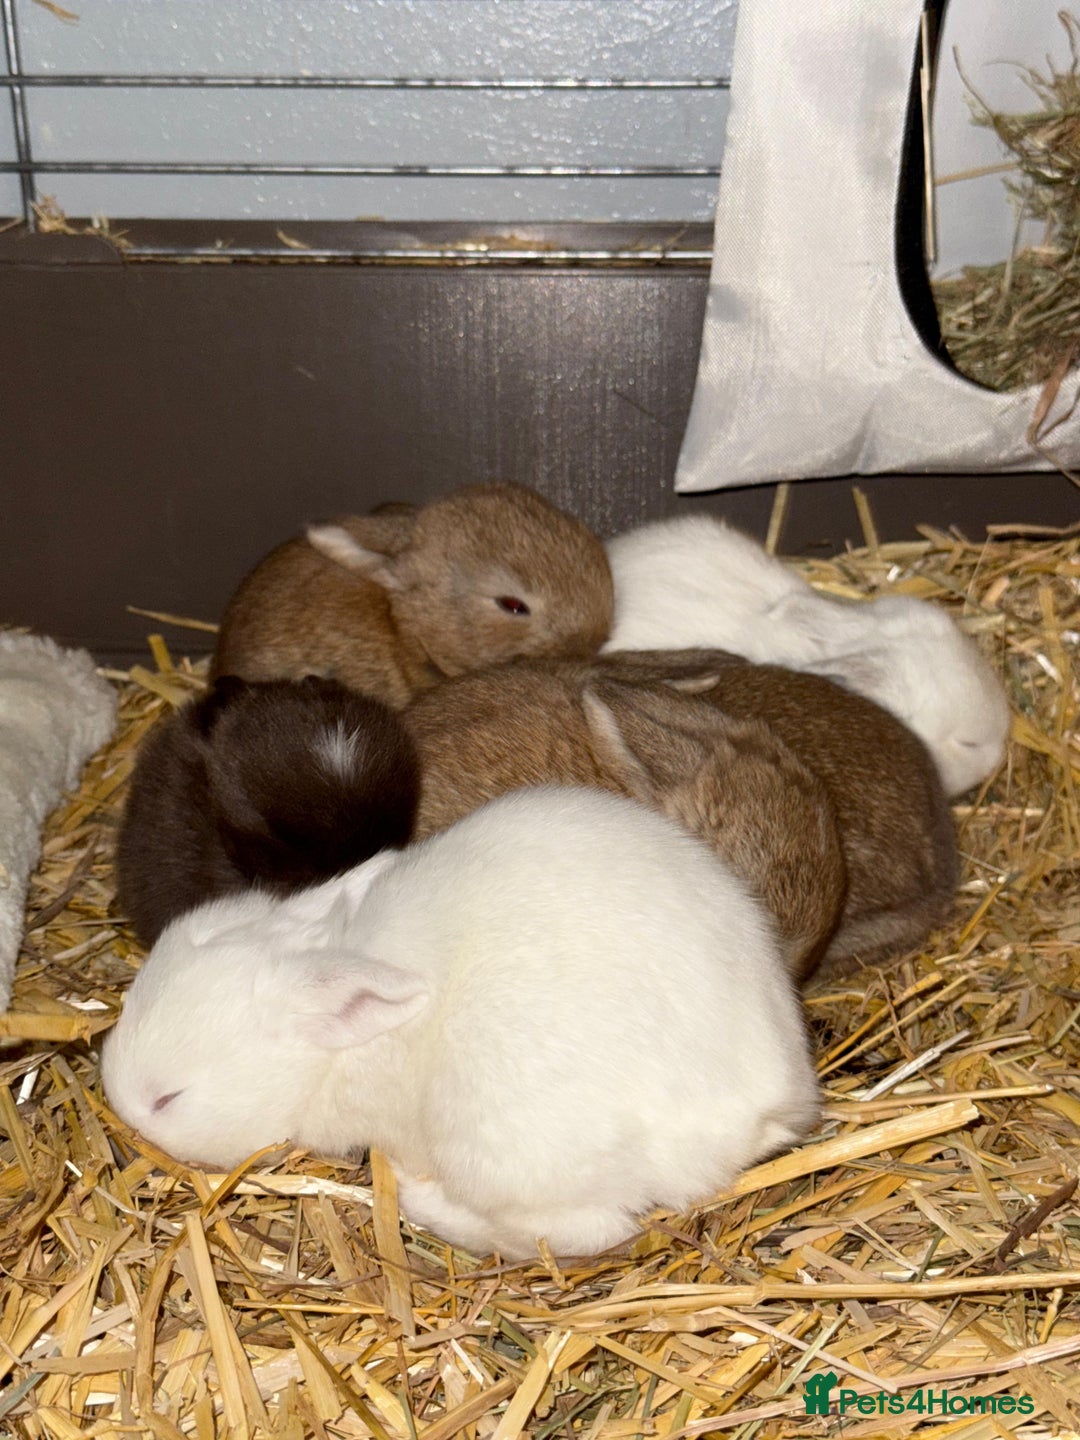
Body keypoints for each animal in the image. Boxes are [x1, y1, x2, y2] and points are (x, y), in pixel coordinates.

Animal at [101, 785, 821, 1261]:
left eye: (168, 1099)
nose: (117, 1102)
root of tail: (764, 1101)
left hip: (499, 1143)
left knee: (585, 1232)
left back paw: (419, 1196)